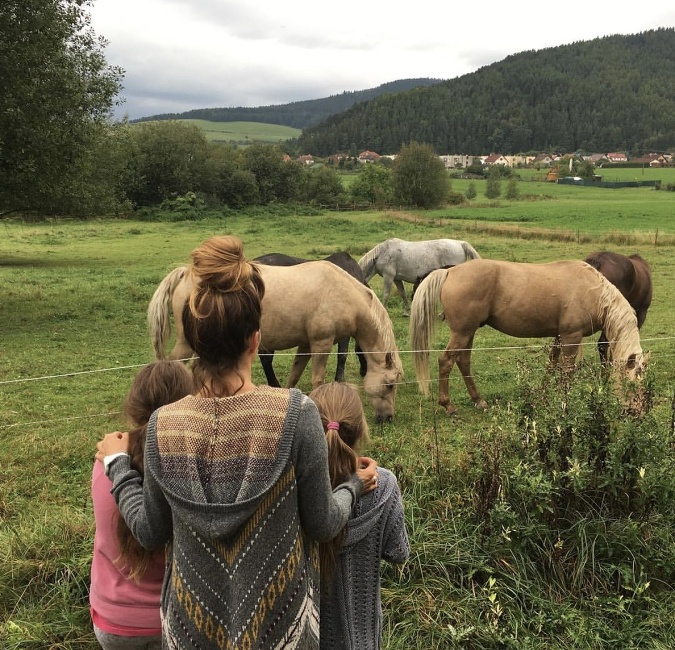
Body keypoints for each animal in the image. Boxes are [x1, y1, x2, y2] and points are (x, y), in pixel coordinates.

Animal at [410, 256, 652, 412]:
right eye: (633, 382)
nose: (637, 412)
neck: (593, 292)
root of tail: (450, 271)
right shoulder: (571, 337)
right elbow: (566, 371)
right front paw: (565, 400)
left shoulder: (560, 336)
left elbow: (551, 364)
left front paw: (544, 392)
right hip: (462, 332)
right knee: (446, 361)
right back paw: (448, 405)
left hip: (468, 332)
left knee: (463, 361)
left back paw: (478, 400)